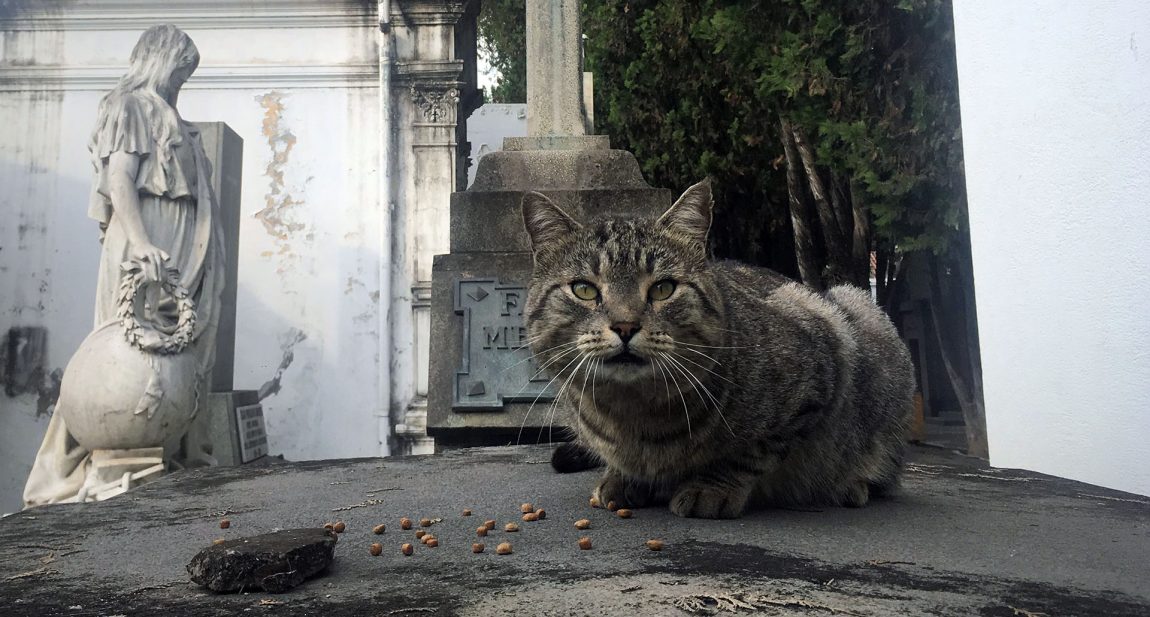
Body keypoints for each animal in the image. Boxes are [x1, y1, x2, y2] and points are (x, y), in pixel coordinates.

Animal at [524, 180, 915, 517]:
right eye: (584, 289)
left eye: (663, 289)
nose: (625, 326)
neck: (633, 415)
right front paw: (620, 479)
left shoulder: (821, 364)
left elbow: (752, 451)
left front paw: (711, 488)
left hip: (859, 314)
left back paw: (853, 485)